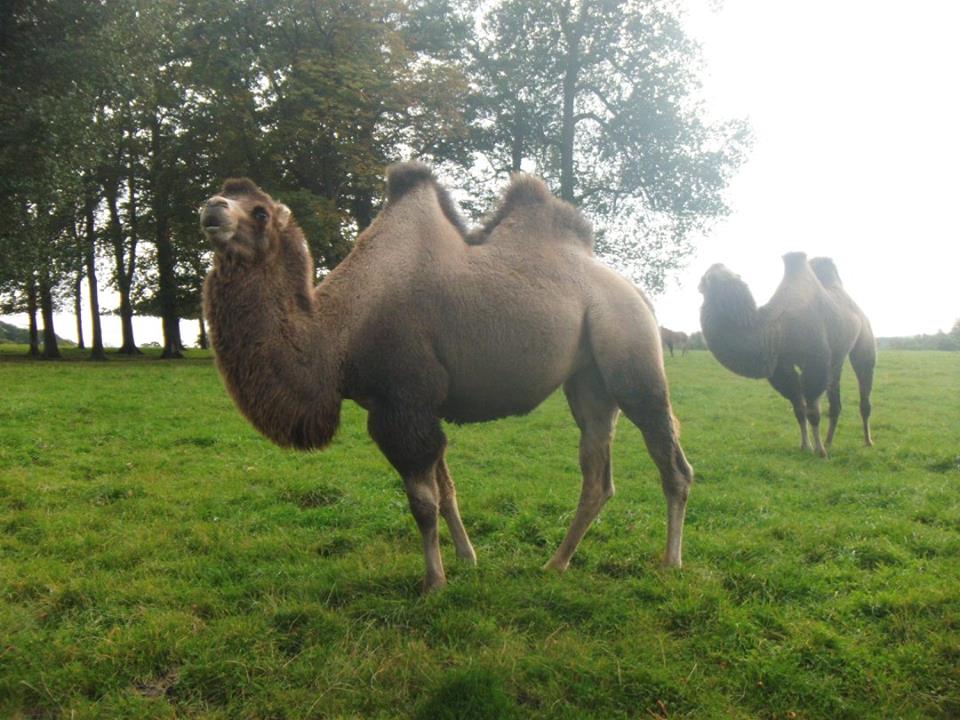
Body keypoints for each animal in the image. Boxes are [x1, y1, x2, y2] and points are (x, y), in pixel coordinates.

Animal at [201, 162, 693, 592]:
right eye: (223, 193)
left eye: (260, 211)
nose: (211, 207)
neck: (338, 333)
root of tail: (639, 294)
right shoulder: (421, 407)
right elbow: (447, 488)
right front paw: (467, 557)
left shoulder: (402, 402)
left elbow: (423, 501)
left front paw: (434, 582)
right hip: (589, 379)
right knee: (597, 473)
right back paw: (556, 563)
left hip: (631, 352)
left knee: (670, 458)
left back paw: (670, 561)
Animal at [698, 252, 875, 457]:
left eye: (710, 277)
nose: (703, 280)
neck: (775, 328)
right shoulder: (782, 366)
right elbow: (799, 408)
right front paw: (806, 446)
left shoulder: (815, 360)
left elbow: (812, 411)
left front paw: (820, 451)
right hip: (836, 357)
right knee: (835, 403)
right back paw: (829, 441)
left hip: (864, 339)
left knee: (864, 387)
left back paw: (867, 441)